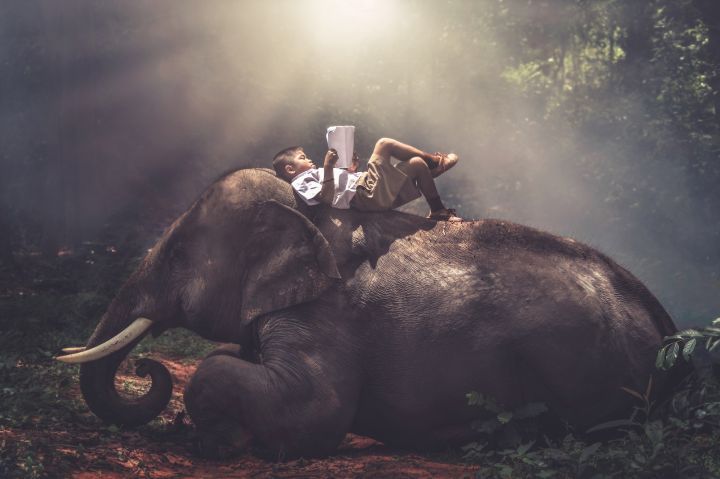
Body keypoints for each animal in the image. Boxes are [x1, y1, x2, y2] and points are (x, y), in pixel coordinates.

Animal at [57, 167, 682, 458]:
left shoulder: (327, 310)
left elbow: (313, 409)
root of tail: (666, 322)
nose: (146, 368)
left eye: (179, 254)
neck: (309, 213)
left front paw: (222, 444)